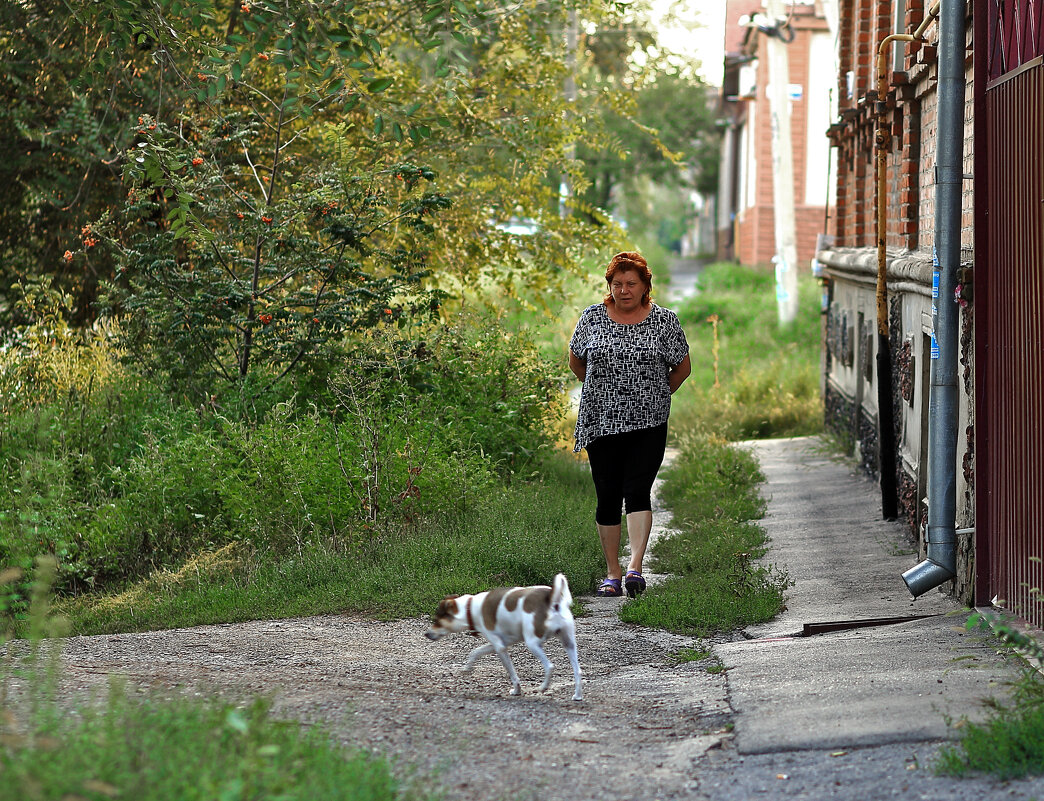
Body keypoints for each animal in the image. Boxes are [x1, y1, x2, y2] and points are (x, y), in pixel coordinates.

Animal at [425, 572, 588, 697]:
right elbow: (476, 651)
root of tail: (552, 599)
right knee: (578, 671)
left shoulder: (500, 648)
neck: (469, 608)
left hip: (532, 643)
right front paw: (467, 668)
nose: (426, 634)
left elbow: (513, 675)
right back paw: (577, 696)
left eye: (437, 620)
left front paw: (516, 690)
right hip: (569, 643)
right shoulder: (500, 643)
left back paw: (543, 687)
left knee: (550, 666)